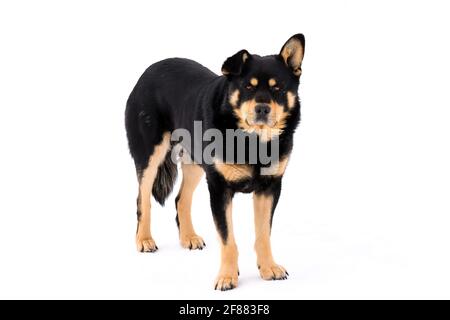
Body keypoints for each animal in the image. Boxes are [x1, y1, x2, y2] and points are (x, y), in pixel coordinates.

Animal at [125, 34, 304, 290]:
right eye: (248, 86)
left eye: (277, 88)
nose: (262, 109)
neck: (252, 139)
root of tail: (148, 70)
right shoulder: (220, 189)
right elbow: (228, 240)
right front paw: (227, 277)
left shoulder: (269, 188)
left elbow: (263, 235)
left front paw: (269, 268)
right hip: (151, 155)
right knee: (143, 198)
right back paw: (144, 239)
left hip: (194, 161)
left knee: (181, 199)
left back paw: (188, 237)